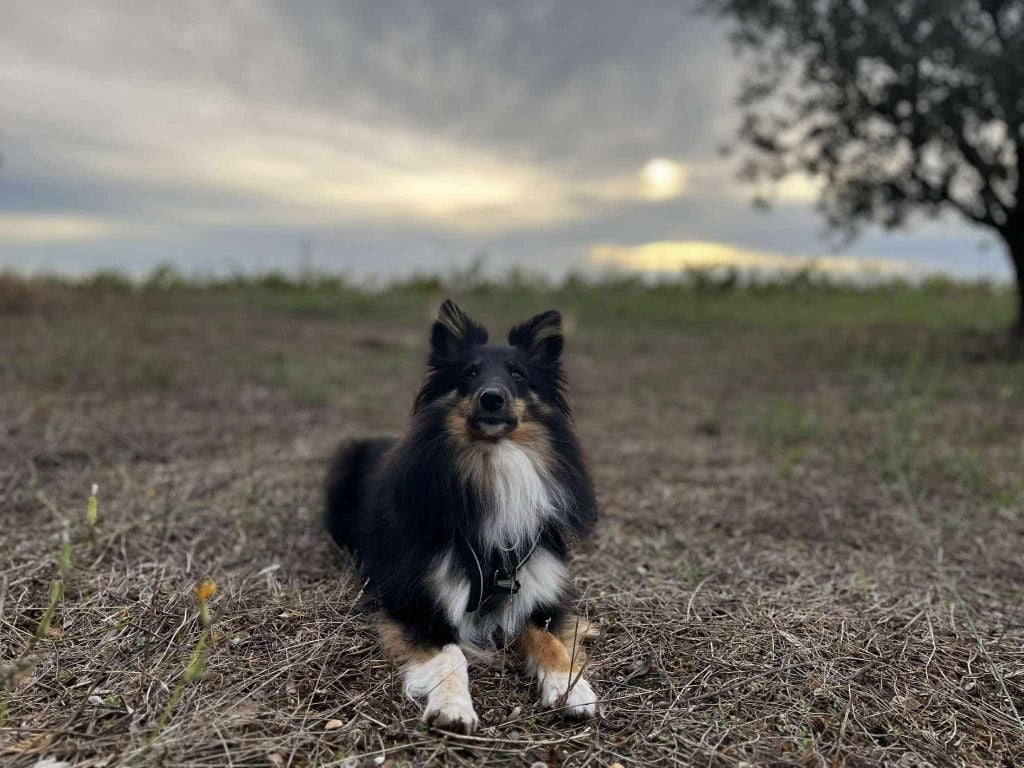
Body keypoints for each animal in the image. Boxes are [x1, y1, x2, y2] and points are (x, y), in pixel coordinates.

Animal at [325, 301, 598, 733]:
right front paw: (453, 707)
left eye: (518, 374)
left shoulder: (536, 591)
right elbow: (452, 654)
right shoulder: (417, 602)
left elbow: (549, 639)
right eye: (470, 373)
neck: (492, 465)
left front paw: (570, 687)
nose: (492, 398)